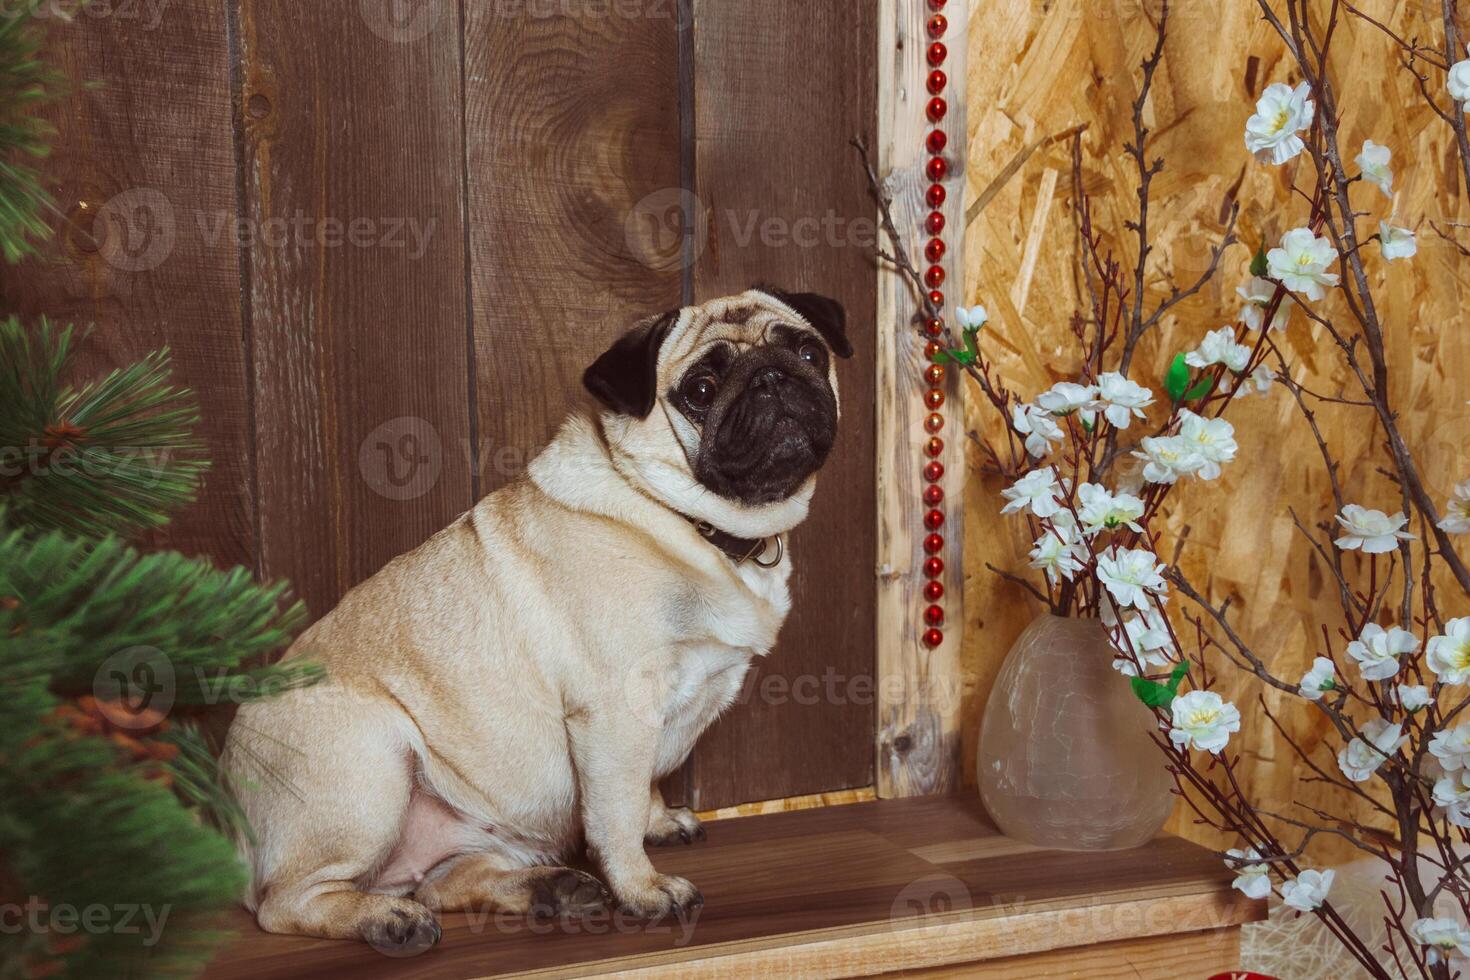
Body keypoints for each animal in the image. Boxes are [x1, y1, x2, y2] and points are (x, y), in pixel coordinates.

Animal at [223, 285, 858, 952]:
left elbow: (644, 786)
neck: (688, 522)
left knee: (441, 883)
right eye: (702, 389)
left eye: (809, 353)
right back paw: (387, 920)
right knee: (287, 904)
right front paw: (643, 889)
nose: (771, 377)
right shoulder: (617, 710)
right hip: (370, 767)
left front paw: (659, 821)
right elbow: (616, 812)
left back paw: (551, 890)